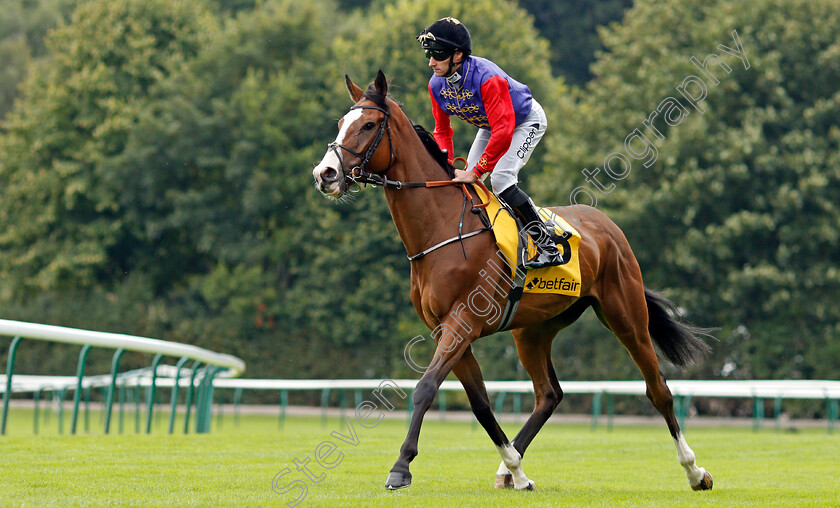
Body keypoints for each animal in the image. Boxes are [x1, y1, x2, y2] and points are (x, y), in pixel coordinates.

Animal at [312, 70, 712, 492]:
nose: (325, 174)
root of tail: (608, 226)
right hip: (533, 330)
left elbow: (426, 389)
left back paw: (694, 470)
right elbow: (480, 403)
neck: (442, 228)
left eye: (369, 125)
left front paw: (401, 467)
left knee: (658, 389)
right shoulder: (446, 329)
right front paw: (516, 470)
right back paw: (510, 470)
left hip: (627, 316)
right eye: (341, 123)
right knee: (549, 394)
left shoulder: (462, 323)